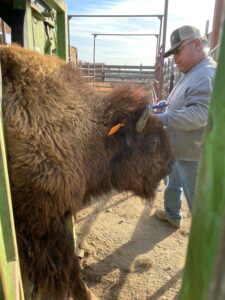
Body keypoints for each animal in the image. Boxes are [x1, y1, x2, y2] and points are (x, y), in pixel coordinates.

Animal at [0, 45, 173, 300]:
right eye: (153, 140)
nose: (171, 163)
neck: (92, 134)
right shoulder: (45, 220)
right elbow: (67, 265)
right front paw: (85, 293)